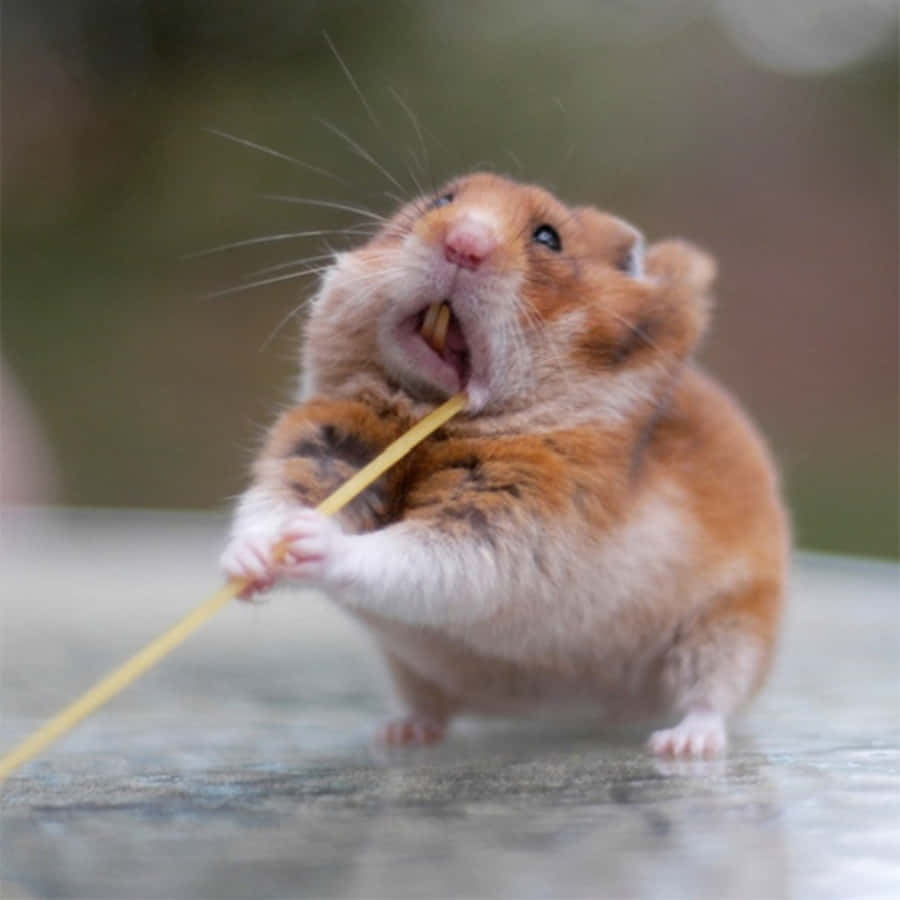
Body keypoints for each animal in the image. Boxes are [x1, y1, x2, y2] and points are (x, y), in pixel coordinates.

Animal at [221, 172, 789, 758]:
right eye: (442, 200)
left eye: (548, 238)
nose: (463, 244)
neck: (427, 415)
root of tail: (591, 711)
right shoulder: (323, 448)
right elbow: (270, 506)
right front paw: (251, 562)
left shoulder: (510, 524)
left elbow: (407, 555)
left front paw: (310, 541)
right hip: (411, 669)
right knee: (432, 706)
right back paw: (401, 734)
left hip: (730, 627)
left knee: (711, 696)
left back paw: (681, 743)